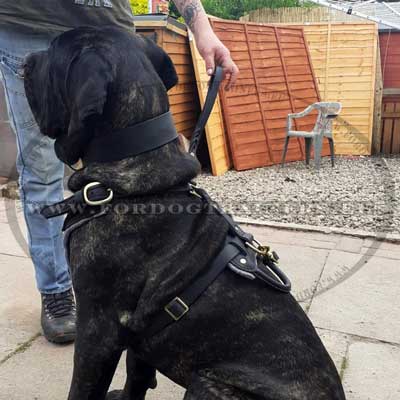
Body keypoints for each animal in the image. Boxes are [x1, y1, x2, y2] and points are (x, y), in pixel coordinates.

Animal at [23, 26, 346, 398]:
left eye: (53, 51)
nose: (27, 60)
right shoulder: (138, 332)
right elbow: (137, 372)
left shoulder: (98, 330)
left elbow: (84, 388)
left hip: (208, 382)